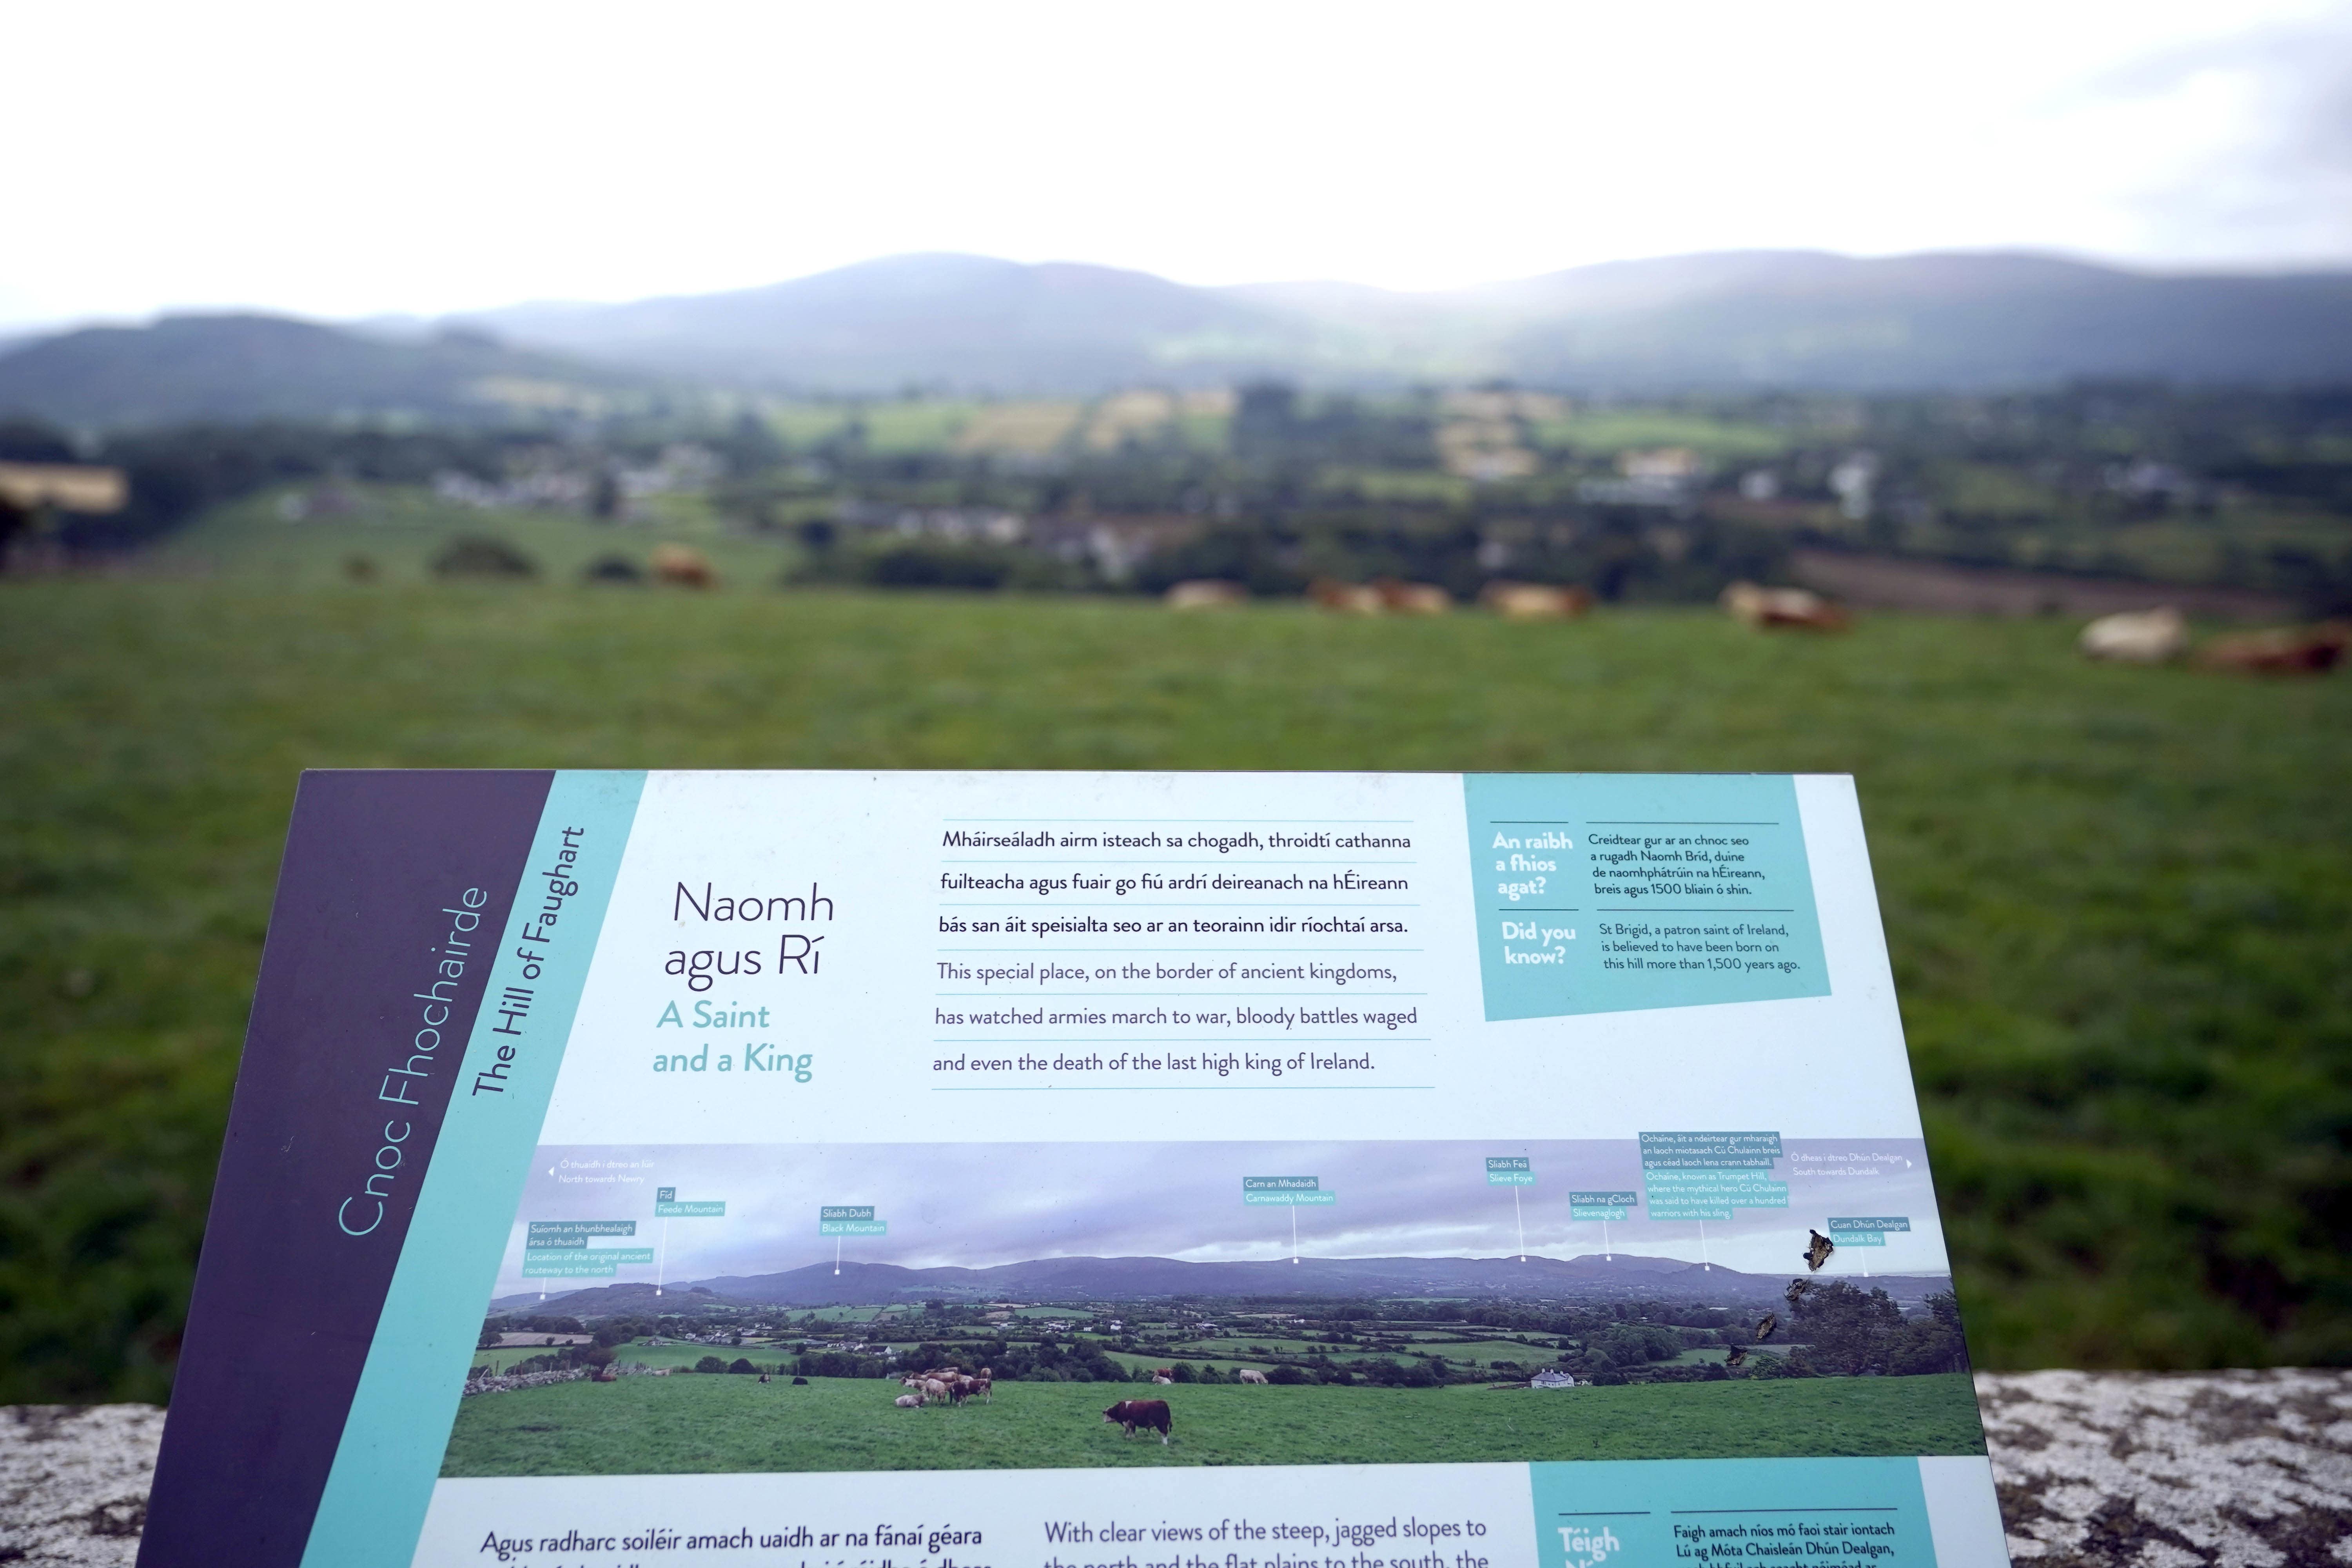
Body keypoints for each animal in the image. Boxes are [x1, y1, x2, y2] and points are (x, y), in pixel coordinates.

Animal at [1105, 1401, 1171, 1448]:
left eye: (1107, 1414)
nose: (1104, 1421)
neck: (1122, 1407)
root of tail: (1162, 1402)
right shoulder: (1133, 1423)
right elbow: (1133, 1431)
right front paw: (1132, 1438)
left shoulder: (1126, 1422)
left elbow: (1128, 1431)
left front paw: (1127, 1437)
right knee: (1163, 1434)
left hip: (1161, 1424)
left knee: (1165, 1433)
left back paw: (1165, 1444)